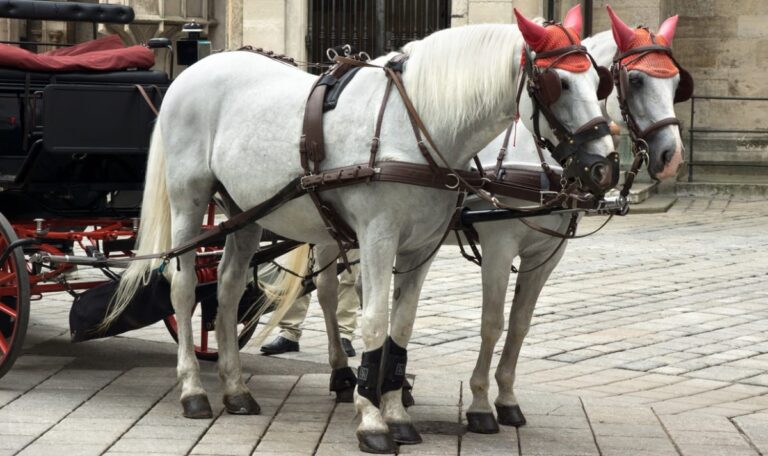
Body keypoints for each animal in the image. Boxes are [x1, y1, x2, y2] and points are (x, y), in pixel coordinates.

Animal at [103, 6, 616, 453]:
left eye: (599, 82)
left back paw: (235, 389)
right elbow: (374, 322)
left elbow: (402, 325)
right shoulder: (381, 239)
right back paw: (193, 389)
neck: (414, 128)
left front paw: (397, 413)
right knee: (185, 286)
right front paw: (371, 420)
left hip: (246, 210)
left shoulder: (423, 247)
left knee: (227, 292)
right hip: (189, 199)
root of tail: (195, 69)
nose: (604, 167)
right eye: (557, 82)